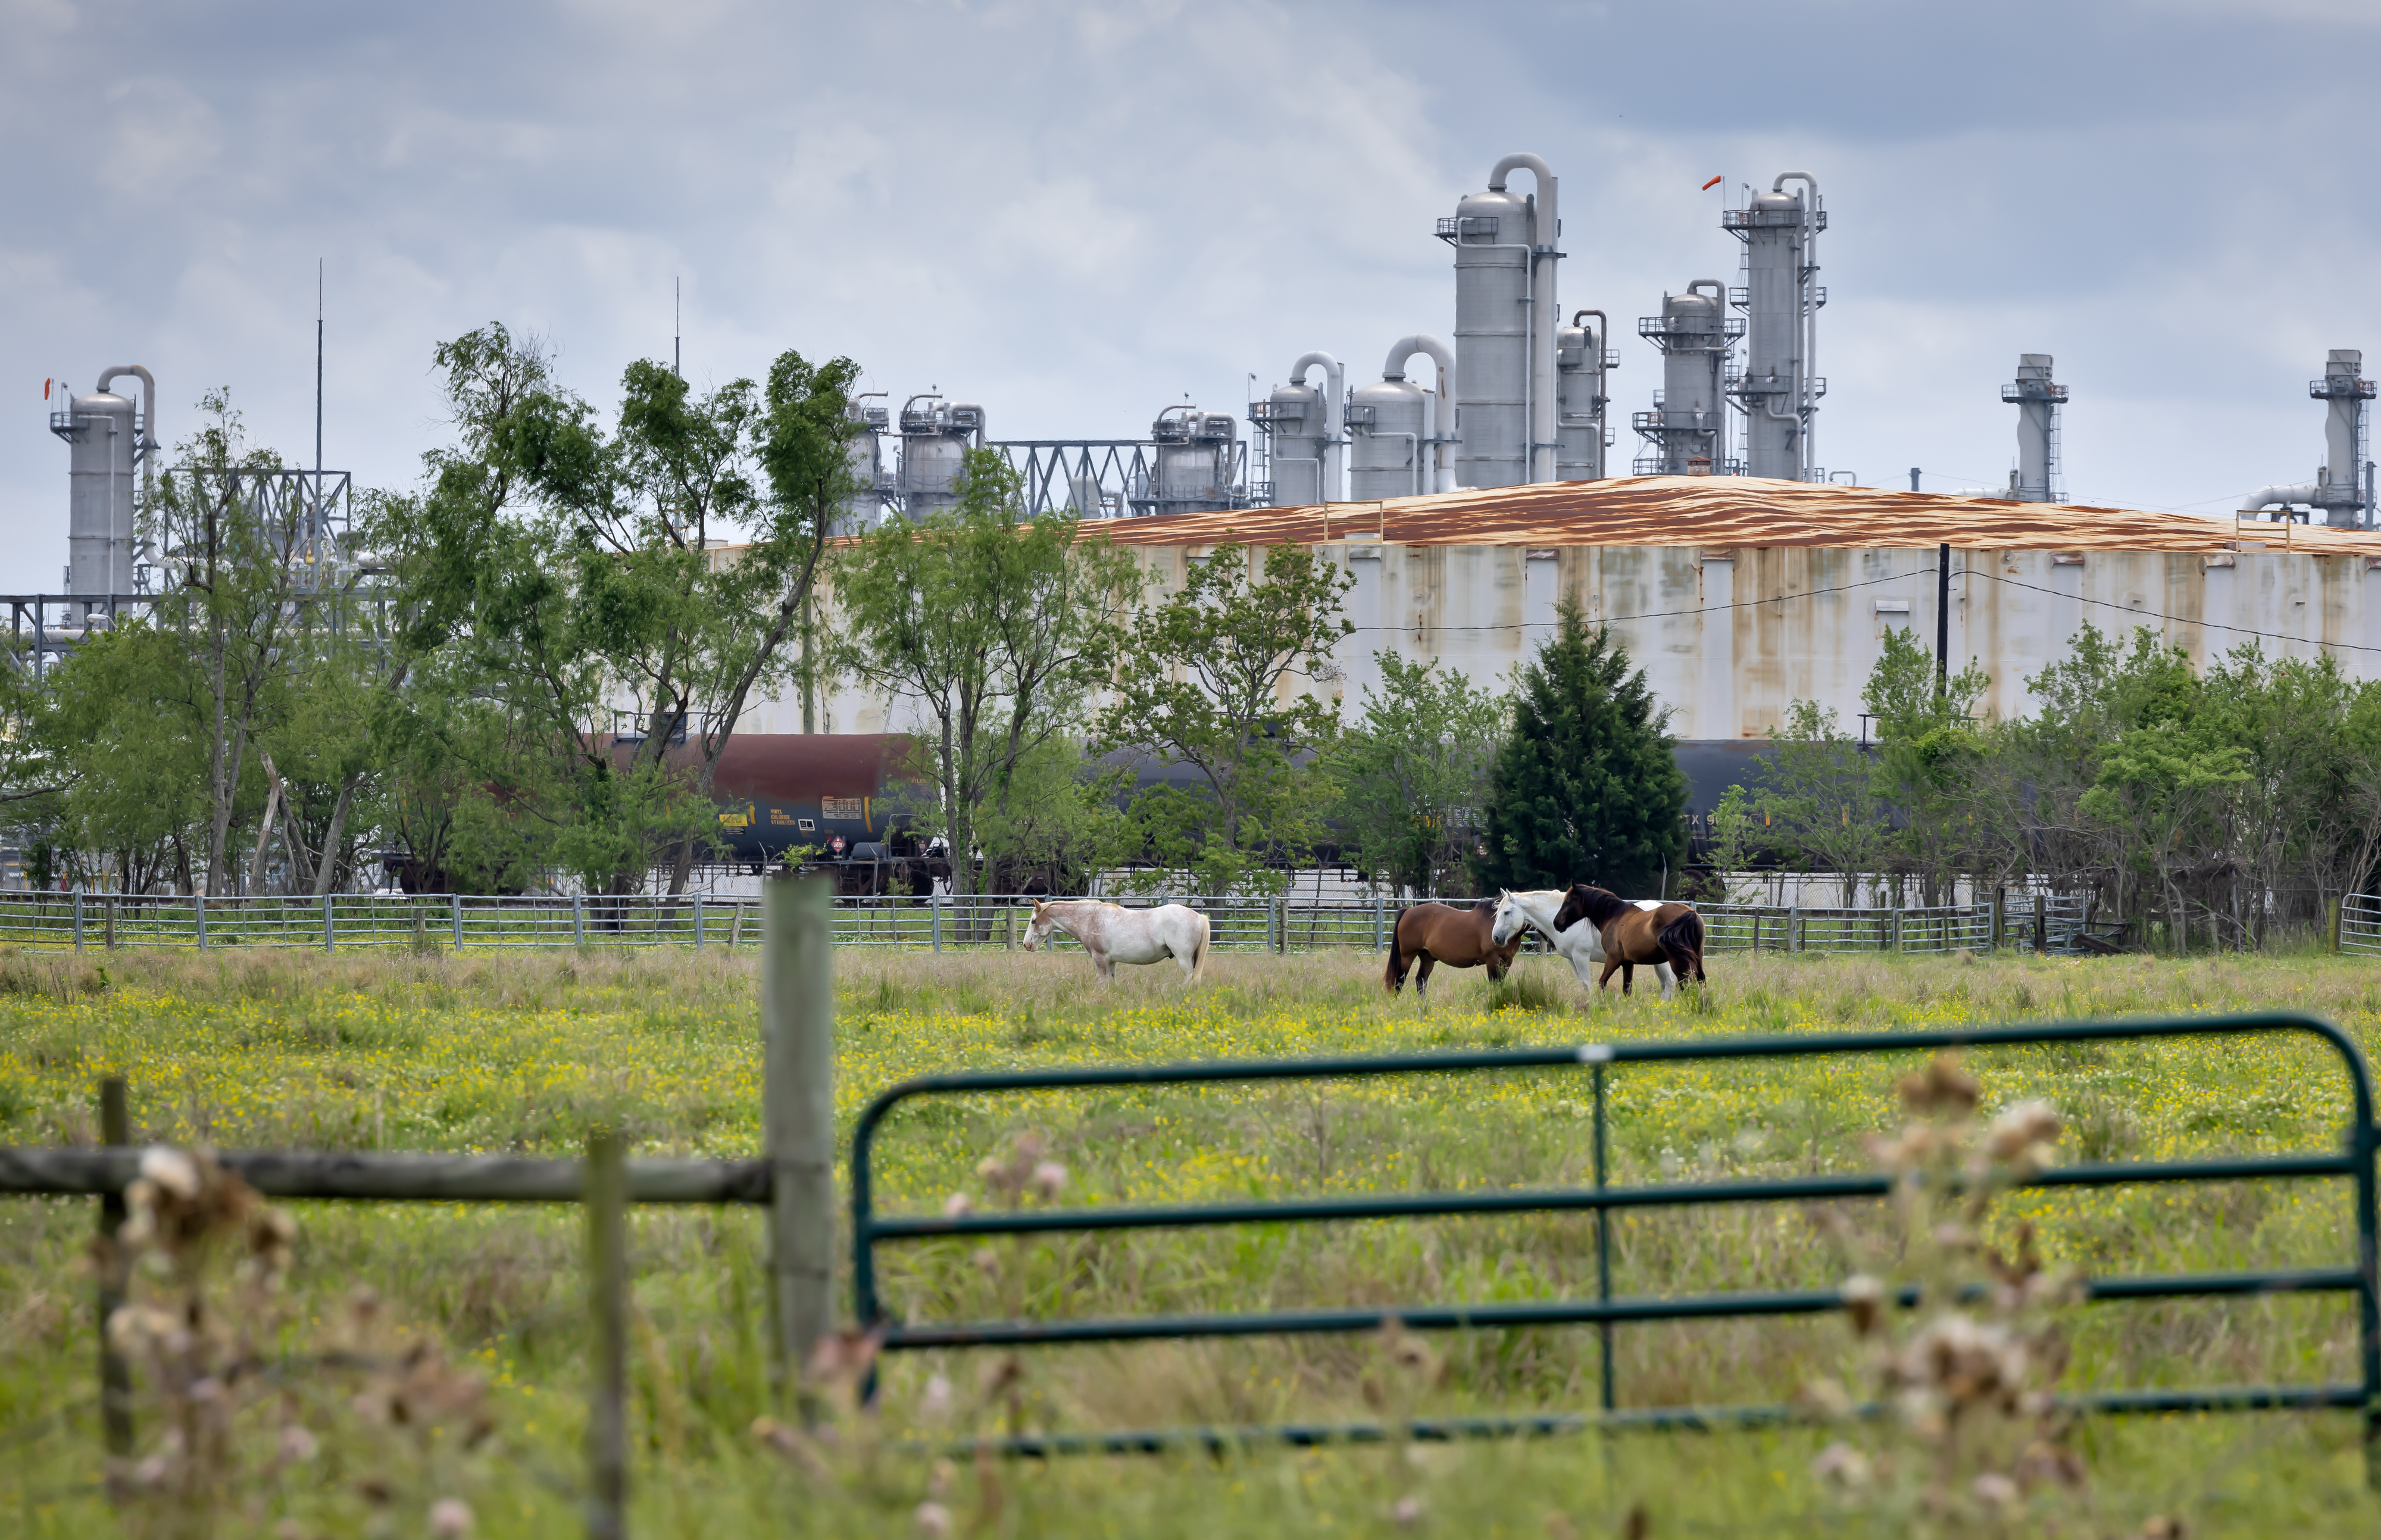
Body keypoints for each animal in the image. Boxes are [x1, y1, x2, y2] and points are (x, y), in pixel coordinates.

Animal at [1019, 899, 1210, 980]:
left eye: (1033, 921)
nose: (1026, 944)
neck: (1090, 918)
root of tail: (1199, 917)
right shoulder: (1111, 962)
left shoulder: (1100, 959)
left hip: (1184, 959)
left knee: (1190, 979)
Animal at [1391, 899, 1514, 1004]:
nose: (1497, 938)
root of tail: (1408, 911)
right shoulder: (1492, 959)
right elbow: (1496, 983)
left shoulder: (1507, 961)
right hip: (1407, 956)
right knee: (1399, 980)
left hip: (1427, 959)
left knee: (1421, 980)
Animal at [1486, 890, 1676, 999]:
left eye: (1507, 912)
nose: (1495, 937)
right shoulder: (1572, 960)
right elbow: (1581, 985)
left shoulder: (1581, 957)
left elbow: (1586, 984)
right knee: (1665, 984)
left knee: (1670, 983)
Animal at [1543, 890, 1714, 999]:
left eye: (1568, 902)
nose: (1556, 923)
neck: (1614, 916)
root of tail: (1690, 912)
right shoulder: (1627, 963)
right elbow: (1627, 988)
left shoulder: (1611, 959)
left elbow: (1600, 983)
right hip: (1695, 958)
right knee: (1699, 980)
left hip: (1674, 961)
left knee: (1681, 983)